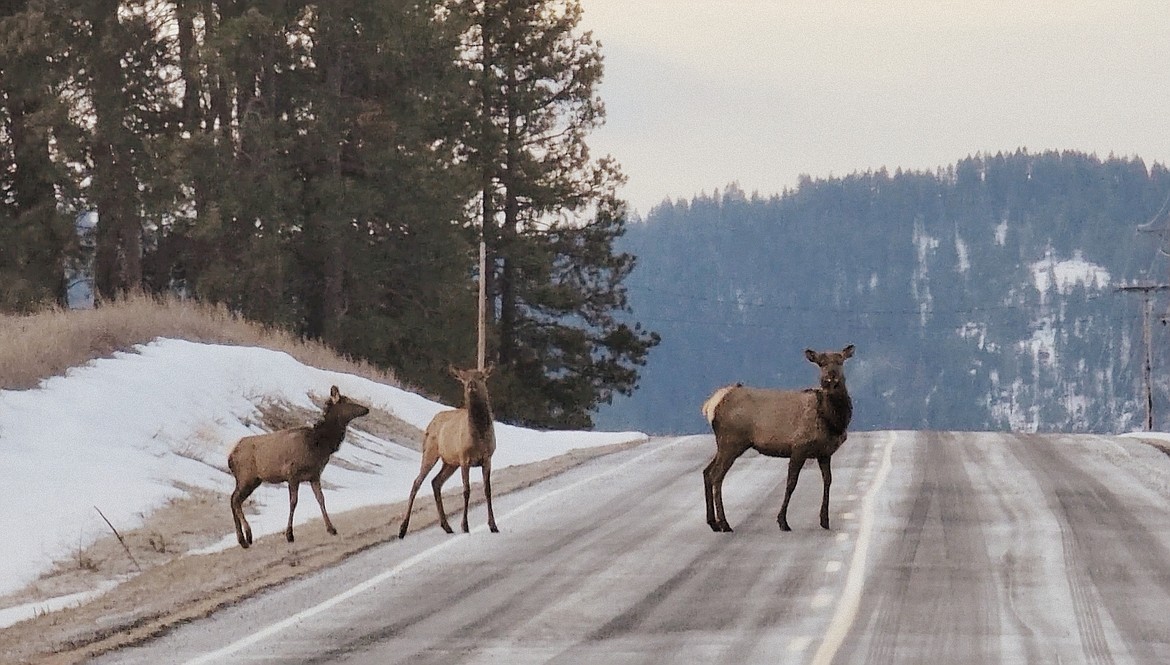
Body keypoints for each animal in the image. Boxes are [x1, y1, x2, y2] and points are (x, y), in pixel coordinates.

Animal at [228, 386, 369, 547]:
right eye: (348, 401)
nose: (366, 409)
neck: (320, 445)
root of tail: (230, 457)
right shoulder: (292, 473)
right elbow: (293, 502)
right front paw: (289, 534)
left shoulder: (314, 475)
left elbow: (321, 499)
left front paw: (331, 528)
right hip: (247, 476)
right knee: (235, 500)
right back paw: (248, 536)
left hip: (252, 480)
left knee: (233, 499)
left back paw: (241, 538)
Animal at [400, 362, 496, 540]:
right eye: (464, 379)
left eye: (481, 377)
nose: (471, 385)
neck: (479, 436)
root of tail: (432, 421)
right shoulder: (465, 458)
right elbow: (466, 490)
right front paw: (465, 525)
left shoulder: (488, 458)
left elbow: (488, 490)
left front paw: (493, 525)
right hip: (430, 451)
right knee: (417, 482)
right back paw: (402, 529)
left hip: (450, 462)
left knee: (436, 482)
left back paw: (446, 526)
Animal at [697, 346, 856, 531]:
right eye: (820, 363)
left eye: (840, 361)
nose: (830, 379)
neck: (833, 421)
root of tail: (711, 405)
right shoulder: (799, 447)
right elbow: (791, 483)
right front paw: (783, 521)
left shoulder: (824, 453)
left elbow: (828, 481)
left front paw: (825, 520)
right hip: (731, 441)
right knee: (716, 476)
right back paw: (724, 523)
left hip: (724, 444)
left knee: (707, 472)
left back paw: (713, 522)